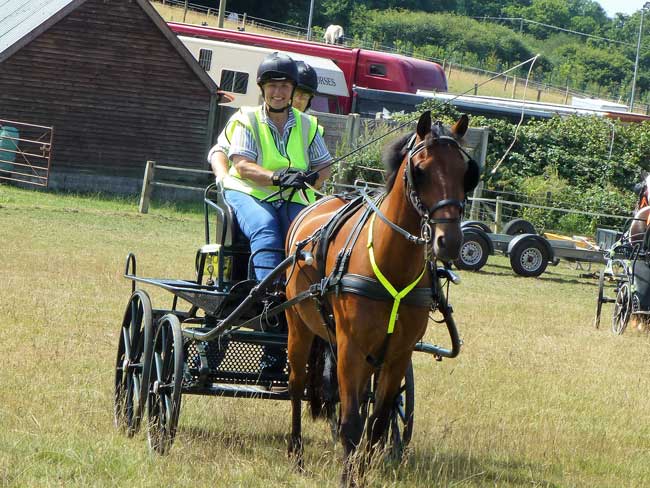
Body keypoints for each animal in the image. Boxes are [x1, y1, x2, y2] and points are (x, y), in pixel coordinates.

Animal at [282, 111, 476, 484]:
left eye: (466, 172)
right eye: (420, 170)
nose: (449, 242)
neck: (390, 262)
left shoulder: (398, 354)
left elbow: (378, 421)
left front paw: (365, 470)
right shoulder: (351, 349)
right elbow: (351, 423)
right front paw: (348, 476)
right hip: (298, 326)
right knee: (297, 385)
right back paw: (296, 454)